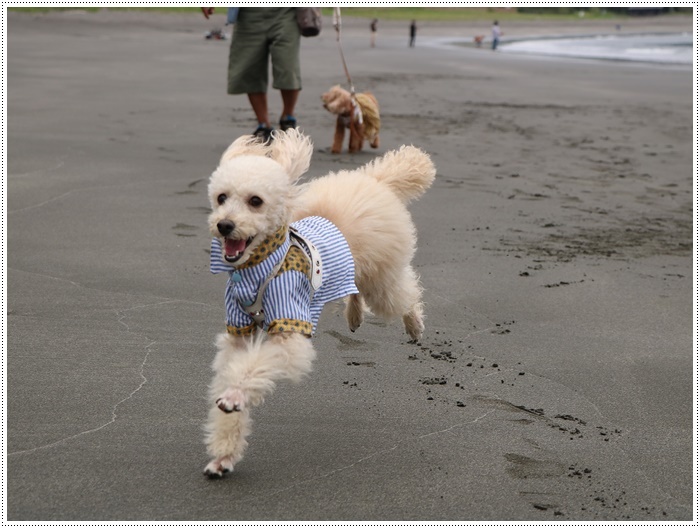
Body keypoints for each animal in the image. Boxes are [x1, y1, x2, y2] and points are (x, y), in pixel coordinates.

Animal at [202, 129, 434, 478]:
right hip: (354, 273)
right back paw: (355, 317)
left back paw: (414, 324)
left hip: (381, 280)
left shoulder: (289, 329)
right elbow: (234, 369)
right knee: (355, 290)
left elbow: (254, 367)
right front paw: (224, 455)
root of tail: (373, 179)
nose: (224, 225)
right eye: (221, 198)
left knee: (402, 296)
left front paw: (234, 397)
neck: (261, 266)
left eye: (255, 201)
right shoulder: (238, 332)